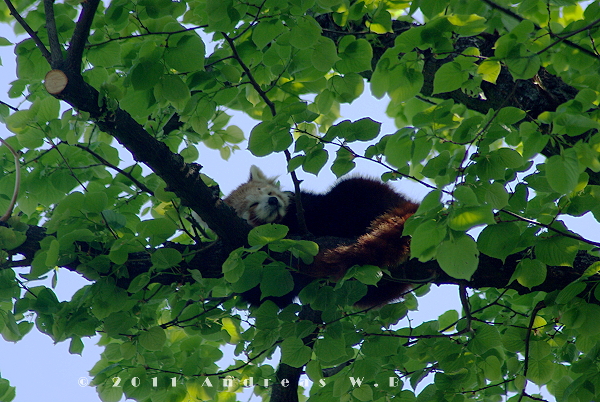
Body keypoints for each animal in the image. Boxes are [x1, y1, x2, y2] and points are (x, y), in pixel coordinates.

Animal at [223, 165, 420, 310]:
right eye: (253, 204)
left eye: (270, 193)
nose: (273, 201)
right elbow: (270, 296)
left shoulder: (306, 206)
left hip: (367, 195)